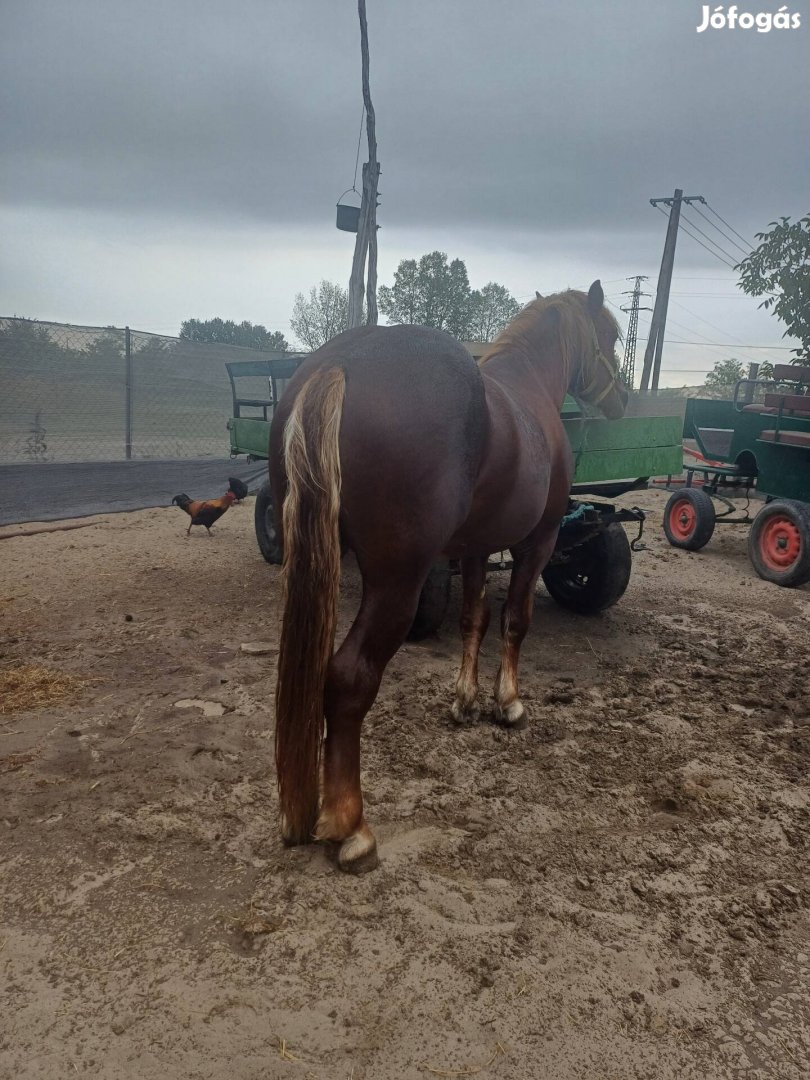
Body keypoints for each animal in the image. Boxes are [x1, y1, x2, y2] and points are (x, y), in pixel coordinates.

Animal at [271, 278, 626, 868]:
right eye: (613, 337)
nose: (620, 398)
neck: (529, 390)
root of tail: (342, 362)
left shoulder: (476, 548)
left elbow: (473, 618)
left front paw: (465, 699)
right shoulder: (539, 541)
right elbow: (515, 620)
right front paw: (508, 703)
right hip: (398, 582)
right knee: (348, 676)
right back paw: (351, 825)